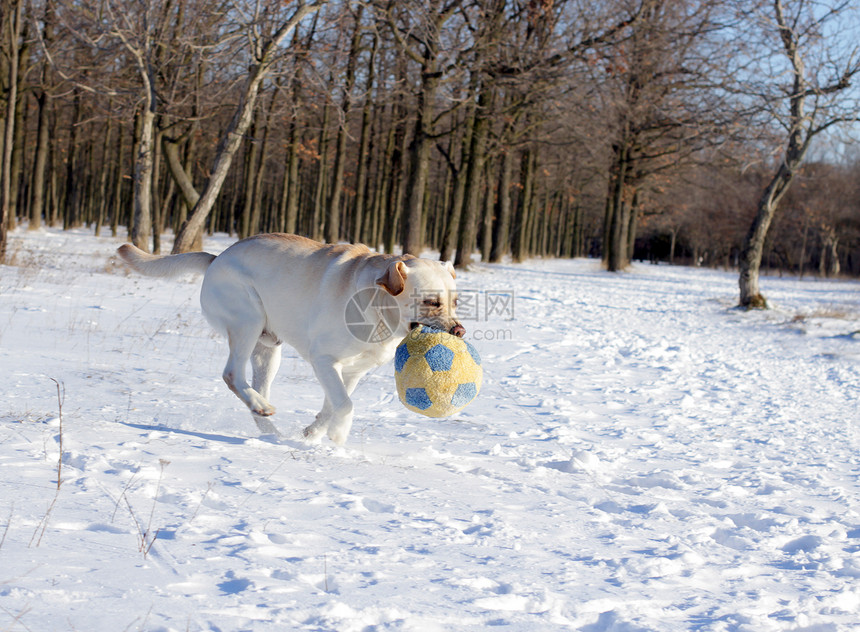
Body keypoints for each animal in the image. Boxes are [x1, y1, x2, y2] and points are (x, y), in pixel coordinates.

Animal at [119, 232, 464, 444]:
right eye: (430, 301)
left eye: (456, 301)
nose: (459, 331)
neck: (377, 309)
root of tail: (216, 258)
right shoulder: (324, 360)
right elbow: (344, 404)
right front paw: (338, 435)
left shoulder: (352, 371)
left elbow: (333, 404)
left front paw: (313, 432)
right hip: (247, 321)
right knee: (231, 374)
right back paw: (262, 408)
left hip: (268, 350)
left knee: (253, 386)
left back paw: (269, 427)